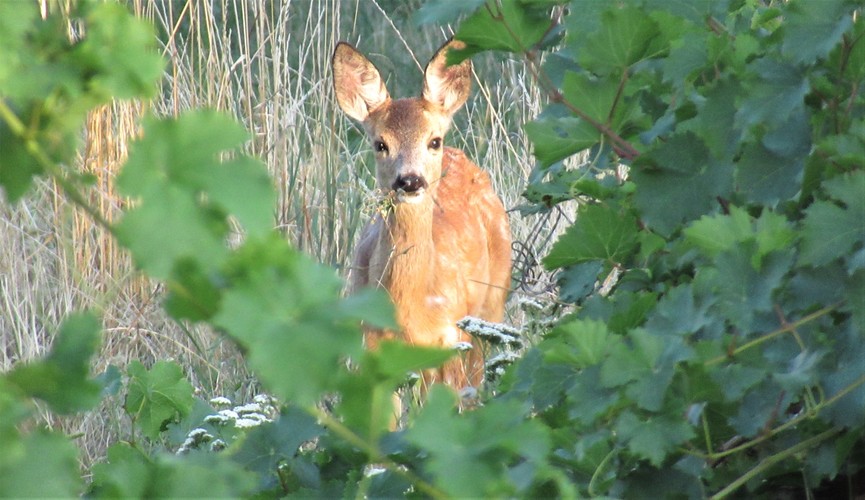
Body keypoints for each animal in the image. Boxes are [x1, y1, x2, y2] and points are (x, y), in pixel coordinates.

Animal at [330, 40, 506, 394]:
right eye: (380, 144)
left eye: (433, 140)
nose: (410, 181)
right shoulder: (371, 342)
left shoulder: (451, 337)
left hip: (490, 308)